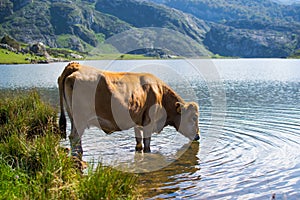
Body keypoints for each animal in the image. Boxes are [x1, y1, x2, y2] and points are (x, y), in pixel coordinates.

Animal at [58, 61, 199, 159]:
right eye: (193, 117)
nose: (198, 136)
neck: (161, 94)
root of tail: (76, 66)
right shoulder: (149, 122)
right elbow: (147, 144)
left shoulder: (138, 121)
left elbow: (139, 143)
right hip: (80, 118)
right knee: (75, 138)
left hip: (72, 117)